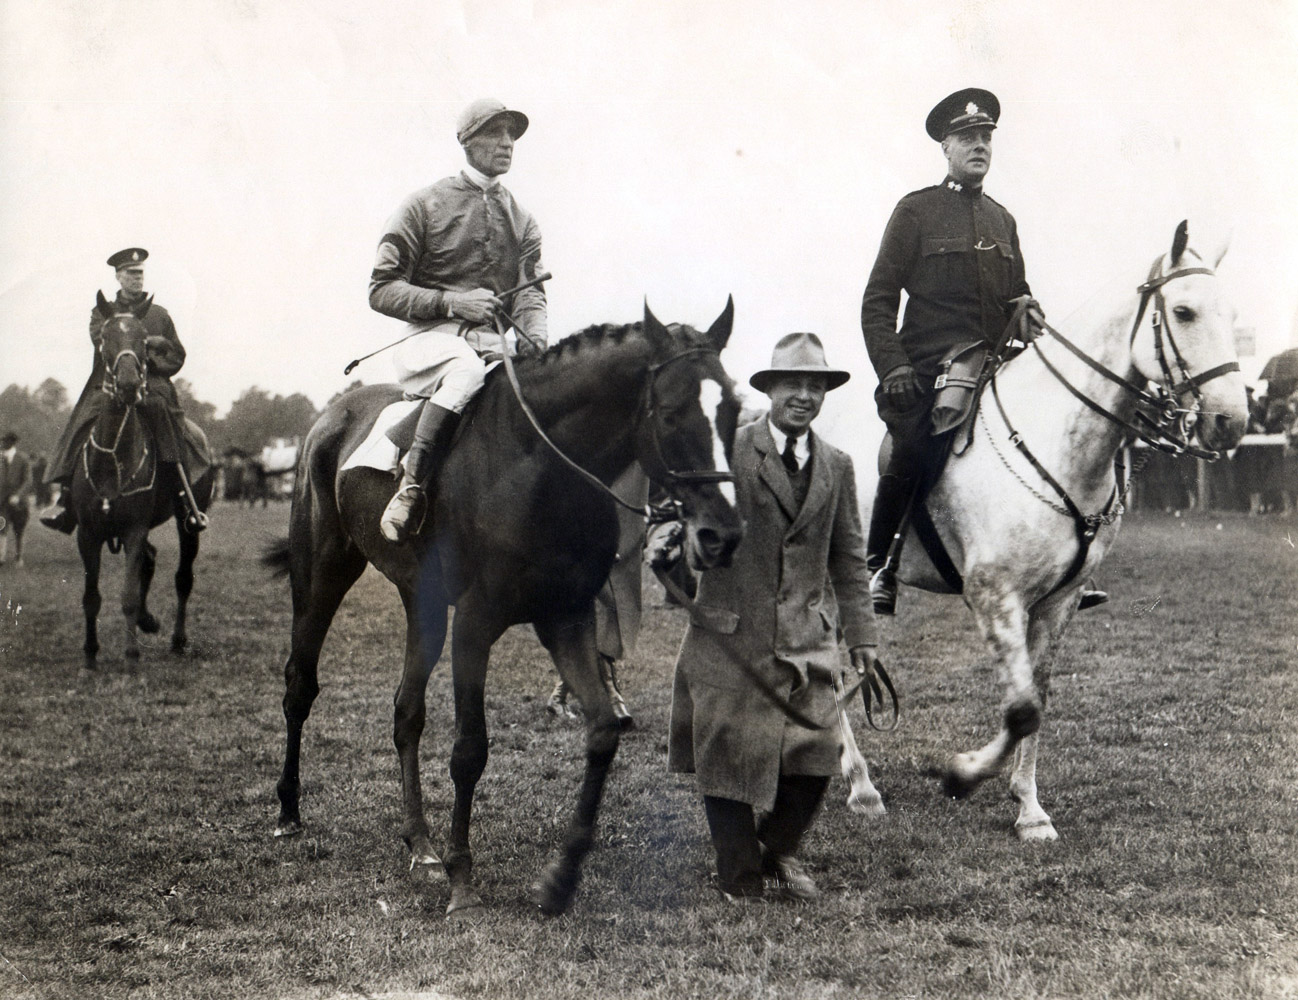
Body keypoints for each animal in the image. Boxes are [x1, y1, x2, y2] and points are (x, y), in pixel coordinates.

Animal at [74, 292, 215, 664]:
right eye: (105, 337)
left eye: (142, 340)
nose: (127, 385)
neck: (112, 455)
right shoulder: (87, 534)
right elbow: (91, 596)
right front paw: (90, 654)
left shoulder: (134, 529)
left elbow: (127, 594)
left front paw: (131, 653)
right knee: (149, 562)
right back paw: (147, 621)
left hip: (186, 522)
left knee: (182, 578)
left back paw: (177, 639)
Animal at [263, 298, 747, 914]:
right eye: (671, 411)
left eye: (733, 407)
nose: (722, 536)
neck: (539, 467)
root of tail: (332, 415)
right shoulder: (476, 624)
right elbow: (470, 750)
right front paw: (463, 879)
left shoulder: (566, 616)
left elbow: (603, 732)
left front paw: (560, 878)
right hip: (322, 572)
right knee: (300, 685)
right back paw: (289, 809)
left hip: (421, 600)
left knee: (406, 711)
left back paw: (420, 843)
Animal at [872, 222, 1246, 836]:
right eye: (1184, 311)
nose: (1231, 422)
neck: (1056, 440)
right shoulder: (994, 596)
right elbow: (1022, 708)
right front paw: (962, 776)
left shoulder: (1058, 600)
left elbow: (1036, 702)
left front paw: (1029, 811)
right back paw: (860, 790)